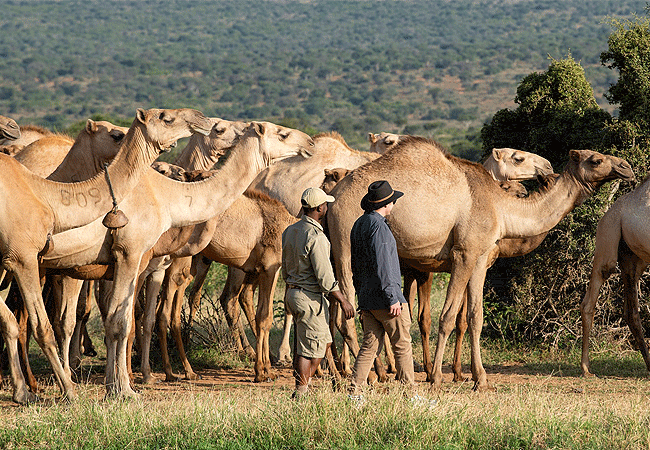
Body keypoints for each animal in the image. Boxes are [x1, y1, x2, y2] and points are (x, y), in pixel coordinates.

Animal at [0, 107, 211, 404]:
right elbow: (63, 323)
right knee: (28, 319)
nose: (202, 118)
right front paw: (76, 385)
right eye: (165, 117)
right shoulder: (35, 261)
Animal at [326, 137, 634, 391]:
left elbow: (475, 317)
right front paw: (437, 378)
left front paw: (480, 379)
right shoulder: (464, 253)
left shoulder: (480, 258)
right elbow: (448, 316)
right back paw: (370, 374)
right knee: (347, 314)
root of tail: (333, 198)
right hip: (344, 244)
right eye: (596, 160)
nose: (626, 166)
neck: (501, 207)